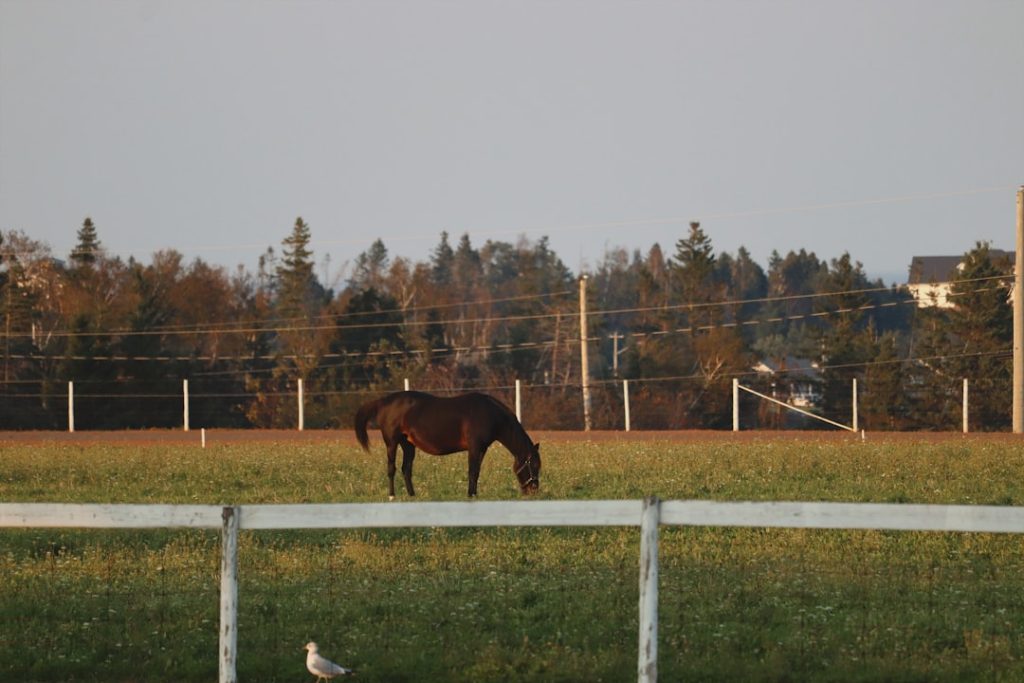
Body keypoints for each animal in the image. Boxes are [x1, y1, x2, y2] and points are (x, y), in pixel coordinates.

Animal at [354, 390, 541, 498]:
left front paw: (474, 494)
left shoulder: (482, 449)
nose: (533, 490)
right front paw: (471, 495)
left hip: (408, 444)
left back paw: (412, 495)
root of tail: (382, 401)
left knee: (406, 469)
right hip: (392, 442)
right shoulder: (474, 447)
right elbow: (472, 472)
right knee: (391, 469)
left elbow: (476, 472)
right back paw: (392, 495)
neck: (490, 413)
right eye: (534, 465)